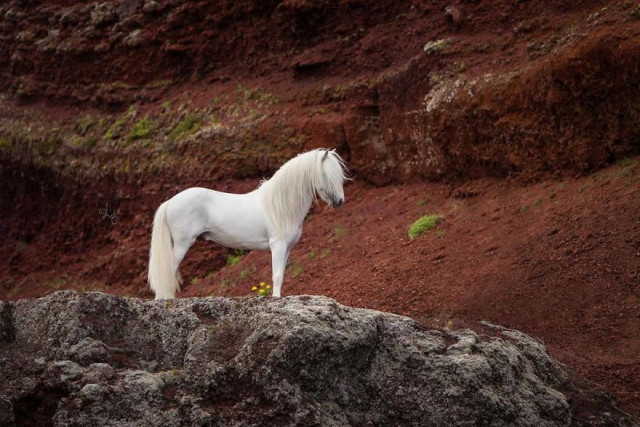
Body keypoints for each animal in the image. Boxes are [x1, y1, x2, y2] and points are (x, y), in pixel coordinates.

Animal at [148, 150, 348, 300]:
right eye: (326, 175)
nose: (340, 201)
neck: (280, 205)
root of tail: (170, 202)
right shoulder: (277, 246)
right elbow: (276, 276)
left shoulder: (287, 249)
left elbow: (282, 275)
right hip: (182, 244)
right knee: (168, 272)